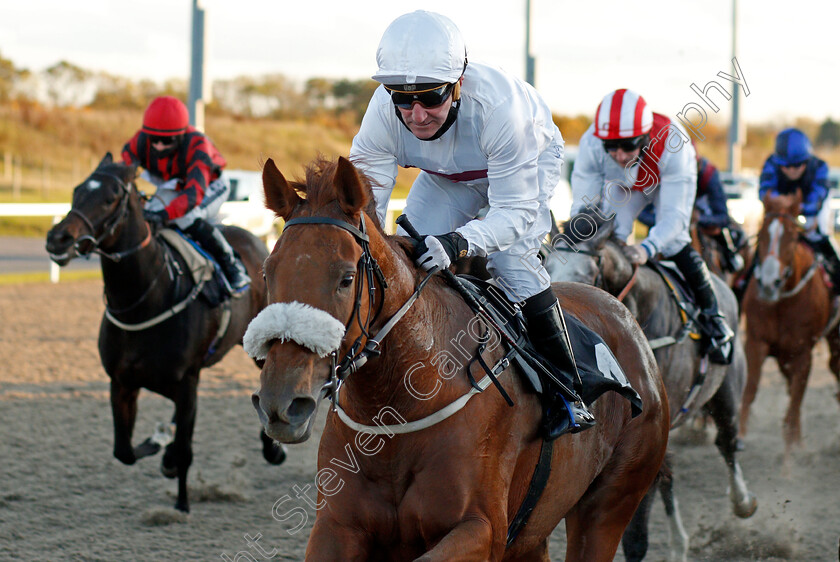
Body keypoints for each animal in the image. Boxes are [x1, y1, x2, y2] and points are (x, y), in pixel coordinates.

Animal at [45, 153, 286, 512]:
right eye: (77, 190)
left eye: (110, 198)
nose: (57, 238)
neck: (146, 300)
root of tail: (259, 241)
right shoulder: (122, 382)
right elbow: (124, 451)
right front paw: (161, 444)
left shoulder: (186, 383)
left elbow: (185, 449)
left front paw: (182, 503)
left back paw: (273, 448)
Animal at [249, 156, 668, 560]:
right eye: (268, 273)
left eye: (347, 278)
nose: (282, 404)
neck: (400, 404)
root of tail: (623, 316)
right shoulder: (337, 527)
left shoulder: (481, 529)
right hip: (534, 534)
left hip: (608, 504)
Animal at [540, 211, 756, 560]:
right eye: (545, 265)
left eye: (586, 273)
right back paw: (680, 542)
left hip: (727, 390)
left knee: (727, 441)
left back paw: (742, 501)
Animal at [740, 190, 840, 462]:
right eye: (762, 232)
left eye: (793, 236)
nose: (768, 283)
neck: (782, 301)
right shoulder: (756, 342)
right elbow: (751, 390)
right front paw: (741, 435)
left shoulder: (802, 353)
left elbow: (795, 400)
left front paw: (792, 453)